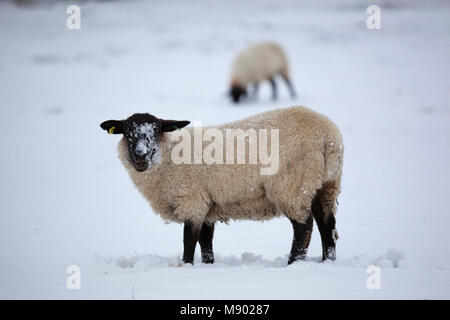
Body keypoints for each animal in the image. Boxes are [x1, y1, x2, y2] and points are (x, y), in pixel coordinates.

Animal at [100, 106, 342, 264]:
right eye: (127, 134)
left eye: (156, 131)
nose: (140, 156)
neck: (168, 156)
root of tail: (328, 135)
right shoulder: (208, 207)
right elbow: (206, 243)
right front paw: (208, 266)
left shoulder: (192, 202)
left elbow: (189, 241)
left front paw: (186, 267)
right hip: (326, 185)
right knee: (327, 225)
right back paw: (327, 261)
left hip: (292, 187)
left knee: (304, 227)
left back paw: (293, 263)